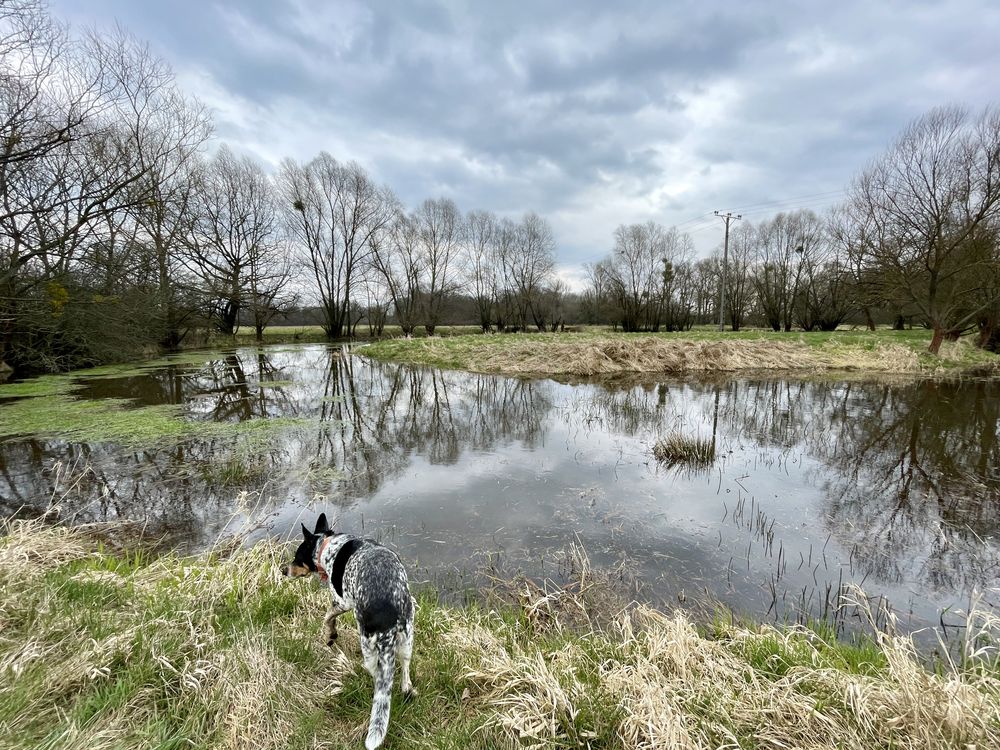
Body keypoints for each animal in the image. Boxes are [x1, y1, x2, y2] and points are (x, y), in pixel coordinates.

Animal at [282, 516, 414, 750]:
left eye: (297, 557)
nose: (283, 570)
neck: (328, 545)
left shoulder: (342, 602)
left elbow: (327, 616)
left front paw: (330, 634)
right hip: (407, 634)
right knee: (405, 669)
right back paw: (407, 688)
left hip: (368, 646)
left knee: (376, 675)